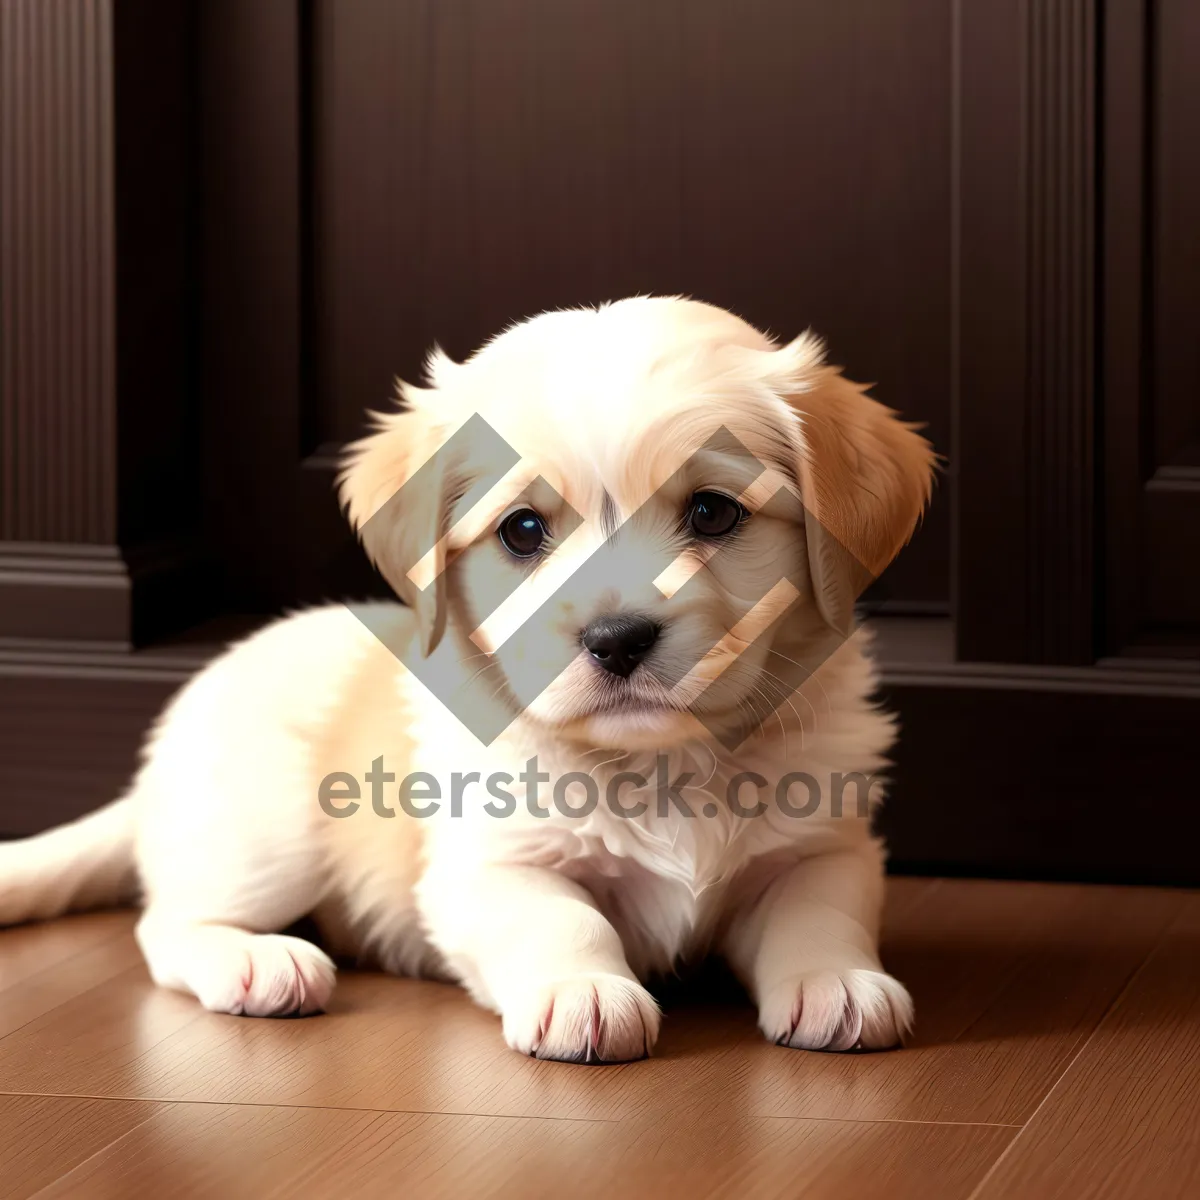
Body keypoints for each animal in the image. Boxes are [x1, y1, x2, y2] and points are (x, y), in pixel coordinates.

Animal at [0, 297, 931, 1060]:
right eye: (522, 531)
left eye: (712, 512)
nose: (617, 638)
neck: (659, 765)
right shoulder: (488, 864)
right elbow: (560, 917)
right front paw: (584, 992)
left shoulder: (826, 843)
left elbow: (820, 912)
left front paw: (837, 983)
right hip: (267, 835)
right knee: (166, 925)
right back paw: (255, 962)